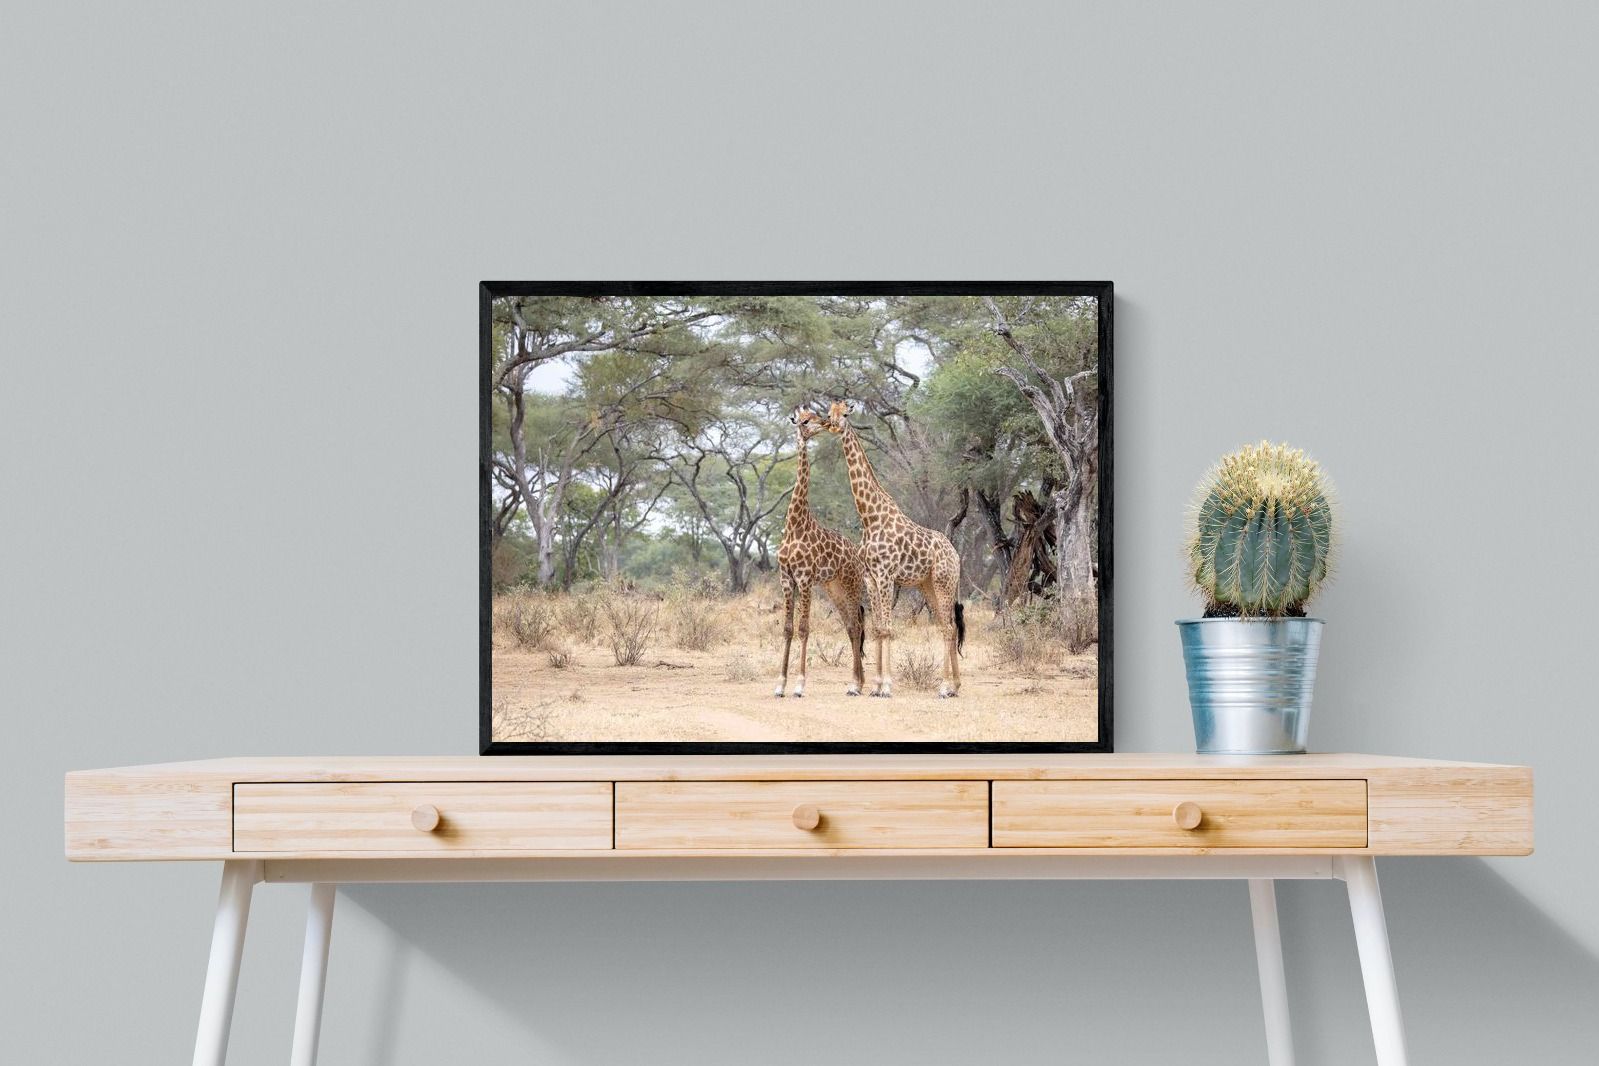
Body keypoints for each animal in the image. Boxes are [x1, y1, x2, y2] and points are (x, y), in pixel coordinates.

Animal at [773, 407, 868, 698]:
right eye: (804, 420)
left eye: (815, 415)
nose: (825, 423)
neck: (795, 524)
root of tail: (857, 555)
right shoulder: (786, 578)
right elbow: (788, 629)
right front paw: (780, 684)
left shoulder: (804, 579)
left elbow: (804, 629)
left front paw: (799, 685)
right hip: (833, 587)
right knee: (850, 626)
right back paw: (858, 682)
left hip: (851, 585)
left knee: (857, 626)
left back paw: (855, 684)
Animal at [821, 401, 965, 698]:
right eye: (829, 412)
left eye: (845, 413)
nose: (832, 425)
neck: (869, 516)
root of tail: (956, 555)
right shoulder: (871, 577)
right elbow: (878, 628)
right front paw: (875, 686)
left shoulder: (886, 575)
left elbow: (887, 628)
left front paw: (886, 686)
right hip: (928, 585)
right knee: (949, 626)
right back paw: (955, 685)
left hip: (943, 581)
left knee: (948, 628)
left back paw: (944, 687)